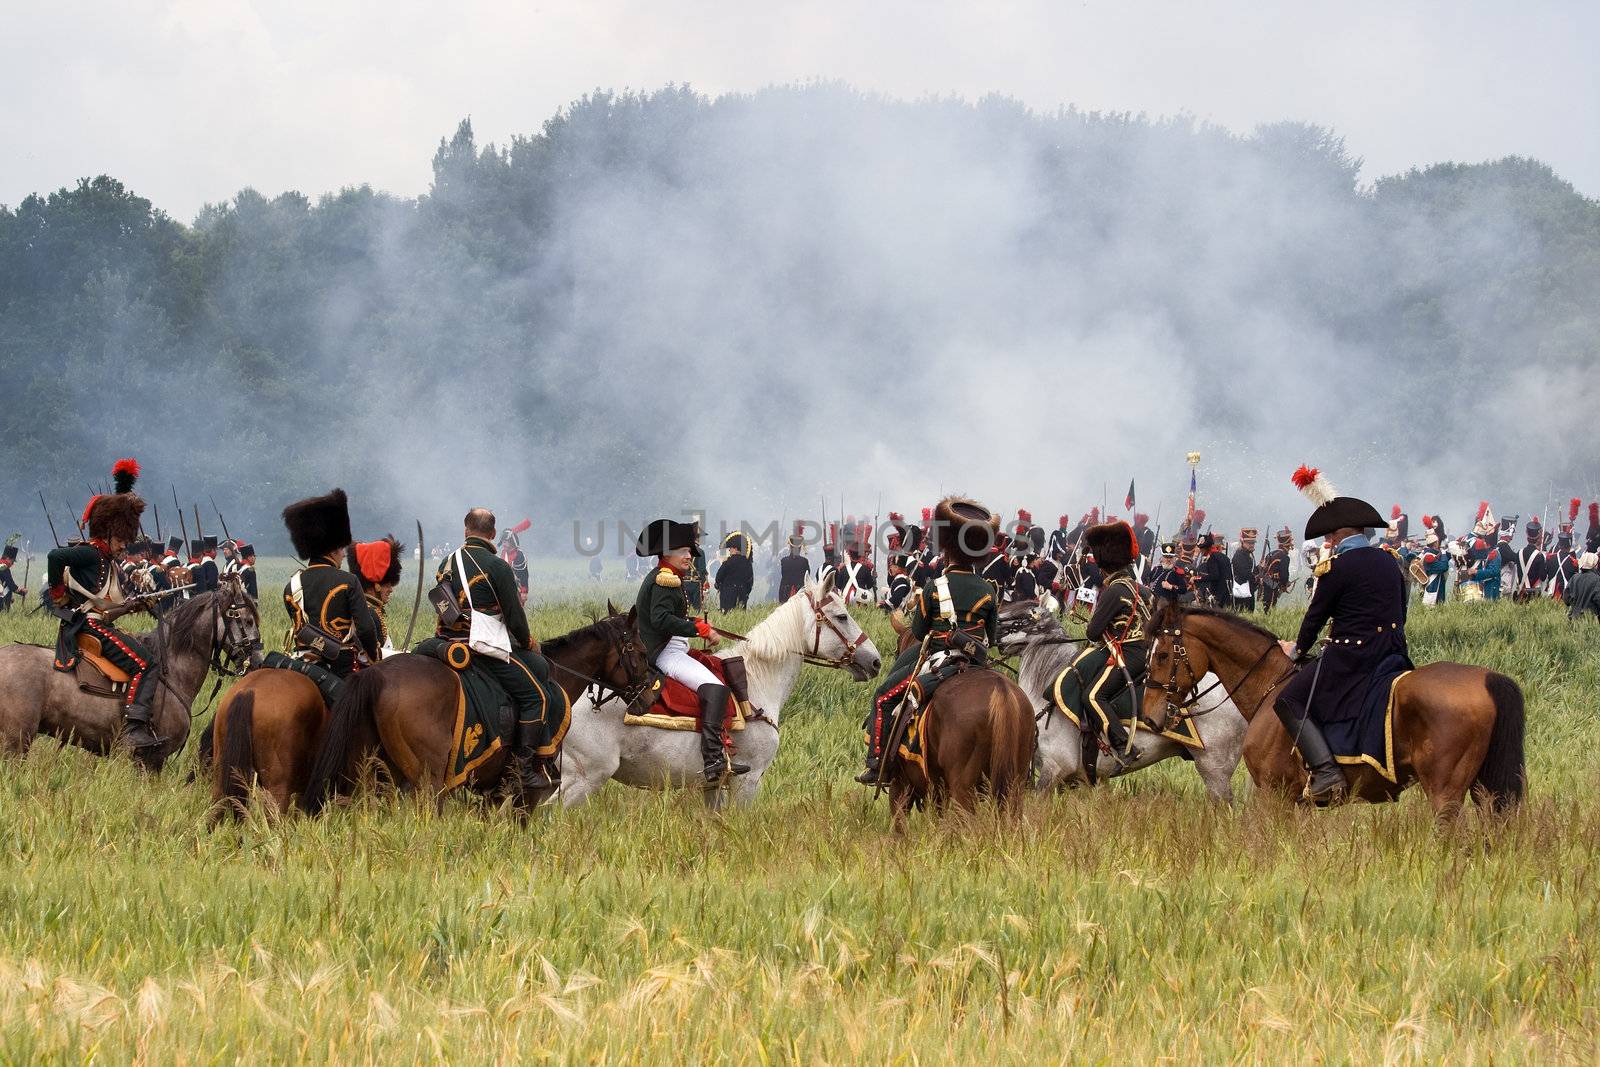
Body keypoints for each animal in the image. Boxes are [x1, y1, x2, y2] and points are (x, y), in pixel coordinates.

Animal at [560, 575, 889, 809]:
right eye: (842, 616)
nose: (874, 661)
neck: (756, 681)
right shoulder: (749, 781)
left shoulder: (714, 785)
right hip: (584, 778)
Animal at [1139, 601, 1523, 819]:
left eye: (1162, 654)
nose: (1150, 716)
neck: (1269, 683)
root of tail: (1488, 678)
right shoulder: (1298, 801)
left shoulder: (1275, 796)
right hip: (1483, 789)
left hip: (1445, 791)